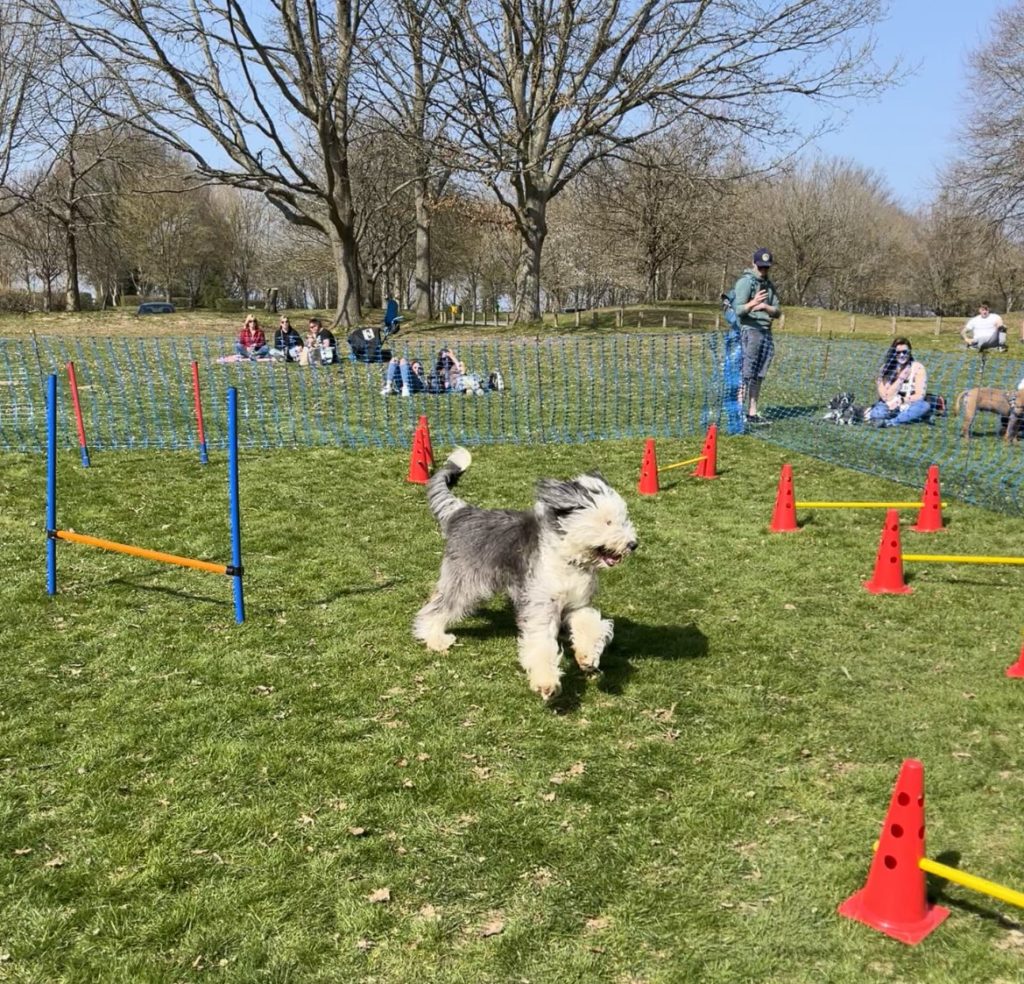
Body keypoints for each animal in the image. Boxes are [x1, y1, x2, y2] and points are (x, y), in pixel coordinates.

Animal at [411, 446, 634, 700]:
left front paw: (587, 658)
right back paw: (435, 638)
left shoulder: (577, 604)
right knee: (437, 607)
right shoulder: (541, 605)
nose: (633, 544)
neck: (566, 556)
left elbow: (590, 624)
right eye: (608, 522)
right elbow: (541, 645)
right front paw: (546, 684)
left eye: (622, 520)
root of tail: (463, 512)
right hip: (466, 580)